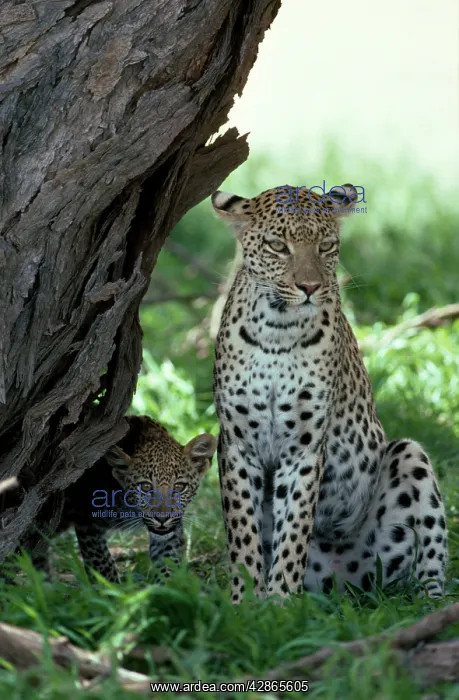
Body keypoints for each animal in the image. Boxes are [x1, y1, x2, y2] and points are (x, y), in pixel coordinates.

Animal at [30, 415, 216, 583]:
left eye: (179, 487)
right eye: (145, 486)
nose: (162, 519)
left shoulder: (172, 530)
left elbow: (168, 562)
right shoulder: (86, 520)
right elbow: (102, 564)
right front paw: (111, 593)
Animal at [211, 184, 448, 604]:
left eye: (326, 246)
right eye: (277, 245)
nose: (309, 288)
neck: (277, 331)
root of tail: (342, 584)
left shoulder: (304, 449)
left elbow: (294, 529)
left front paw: (280, 603)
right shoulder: (238, 444)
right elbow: (243, 532)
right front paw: (245, 601)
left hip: (410, 457)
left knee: (429, 571)